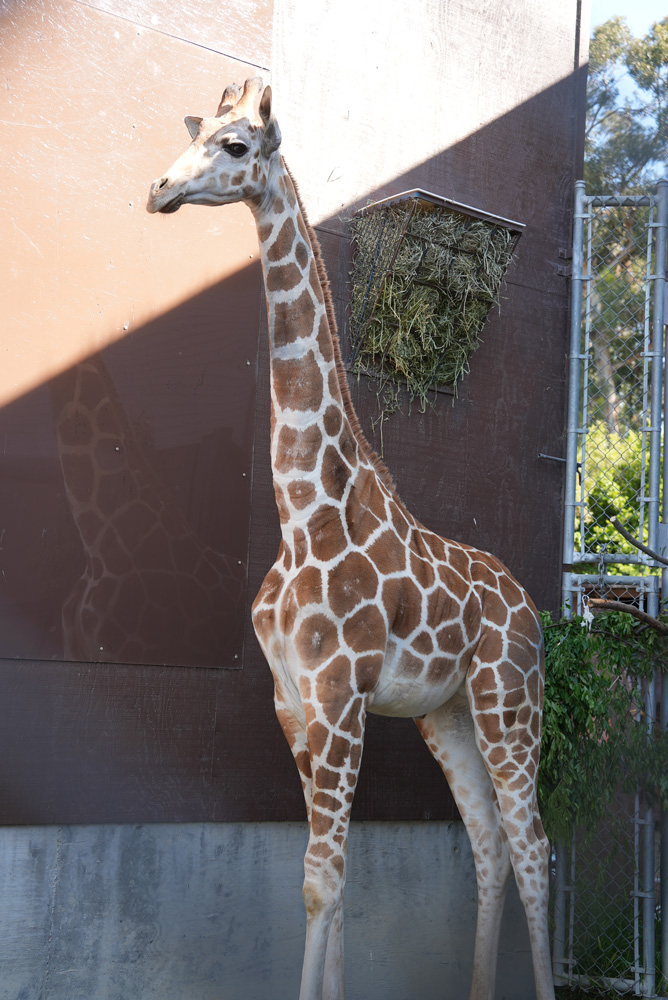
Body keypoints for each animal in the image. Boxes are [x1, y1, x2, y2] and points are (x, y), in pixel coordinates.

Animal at [147, 78, 560, 1000]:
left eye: (235, 147)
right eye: (192, 133)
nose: (157, 191)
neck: (303, 509)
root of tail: (533, 610)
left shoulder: (340, 696)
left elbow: (321, 879)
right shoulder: (293, 701)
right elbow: (328, 880)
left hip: (508, 703)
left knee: (535, 844)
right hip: (447, 715)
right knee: (489, 843)